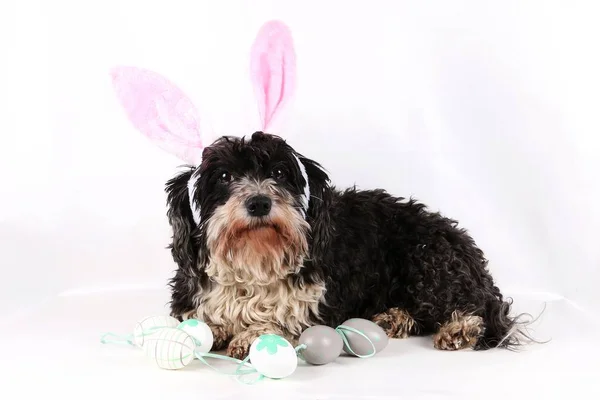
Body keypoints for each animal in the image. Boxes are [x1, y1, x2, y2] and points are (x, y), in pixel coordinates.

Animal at [164, 131, 528, 360]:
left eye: (280, 173)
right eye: (224, 177)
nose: (259, 203)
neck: (256, 261)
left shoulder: (316, 303)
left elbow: (283, 318)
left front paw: (253, 334)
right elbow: (200, 318)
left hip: (428, 262)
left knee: (478, 309)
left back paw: (459, 329)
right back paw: (394, 318)